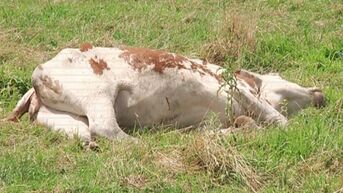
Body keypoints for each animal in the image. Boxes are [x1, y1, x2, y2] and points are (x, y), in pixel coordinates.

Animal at [5, 43, 326, 146]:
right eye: (280, 78)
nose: (320, 93)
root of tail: (40, 71)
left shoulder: (208, 121)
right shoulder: (239, 90)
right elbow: (278, 121)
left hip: (58, 116)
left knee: (85, 133)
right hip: (97, 92)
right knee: (106, 128)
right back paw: (148, 142)